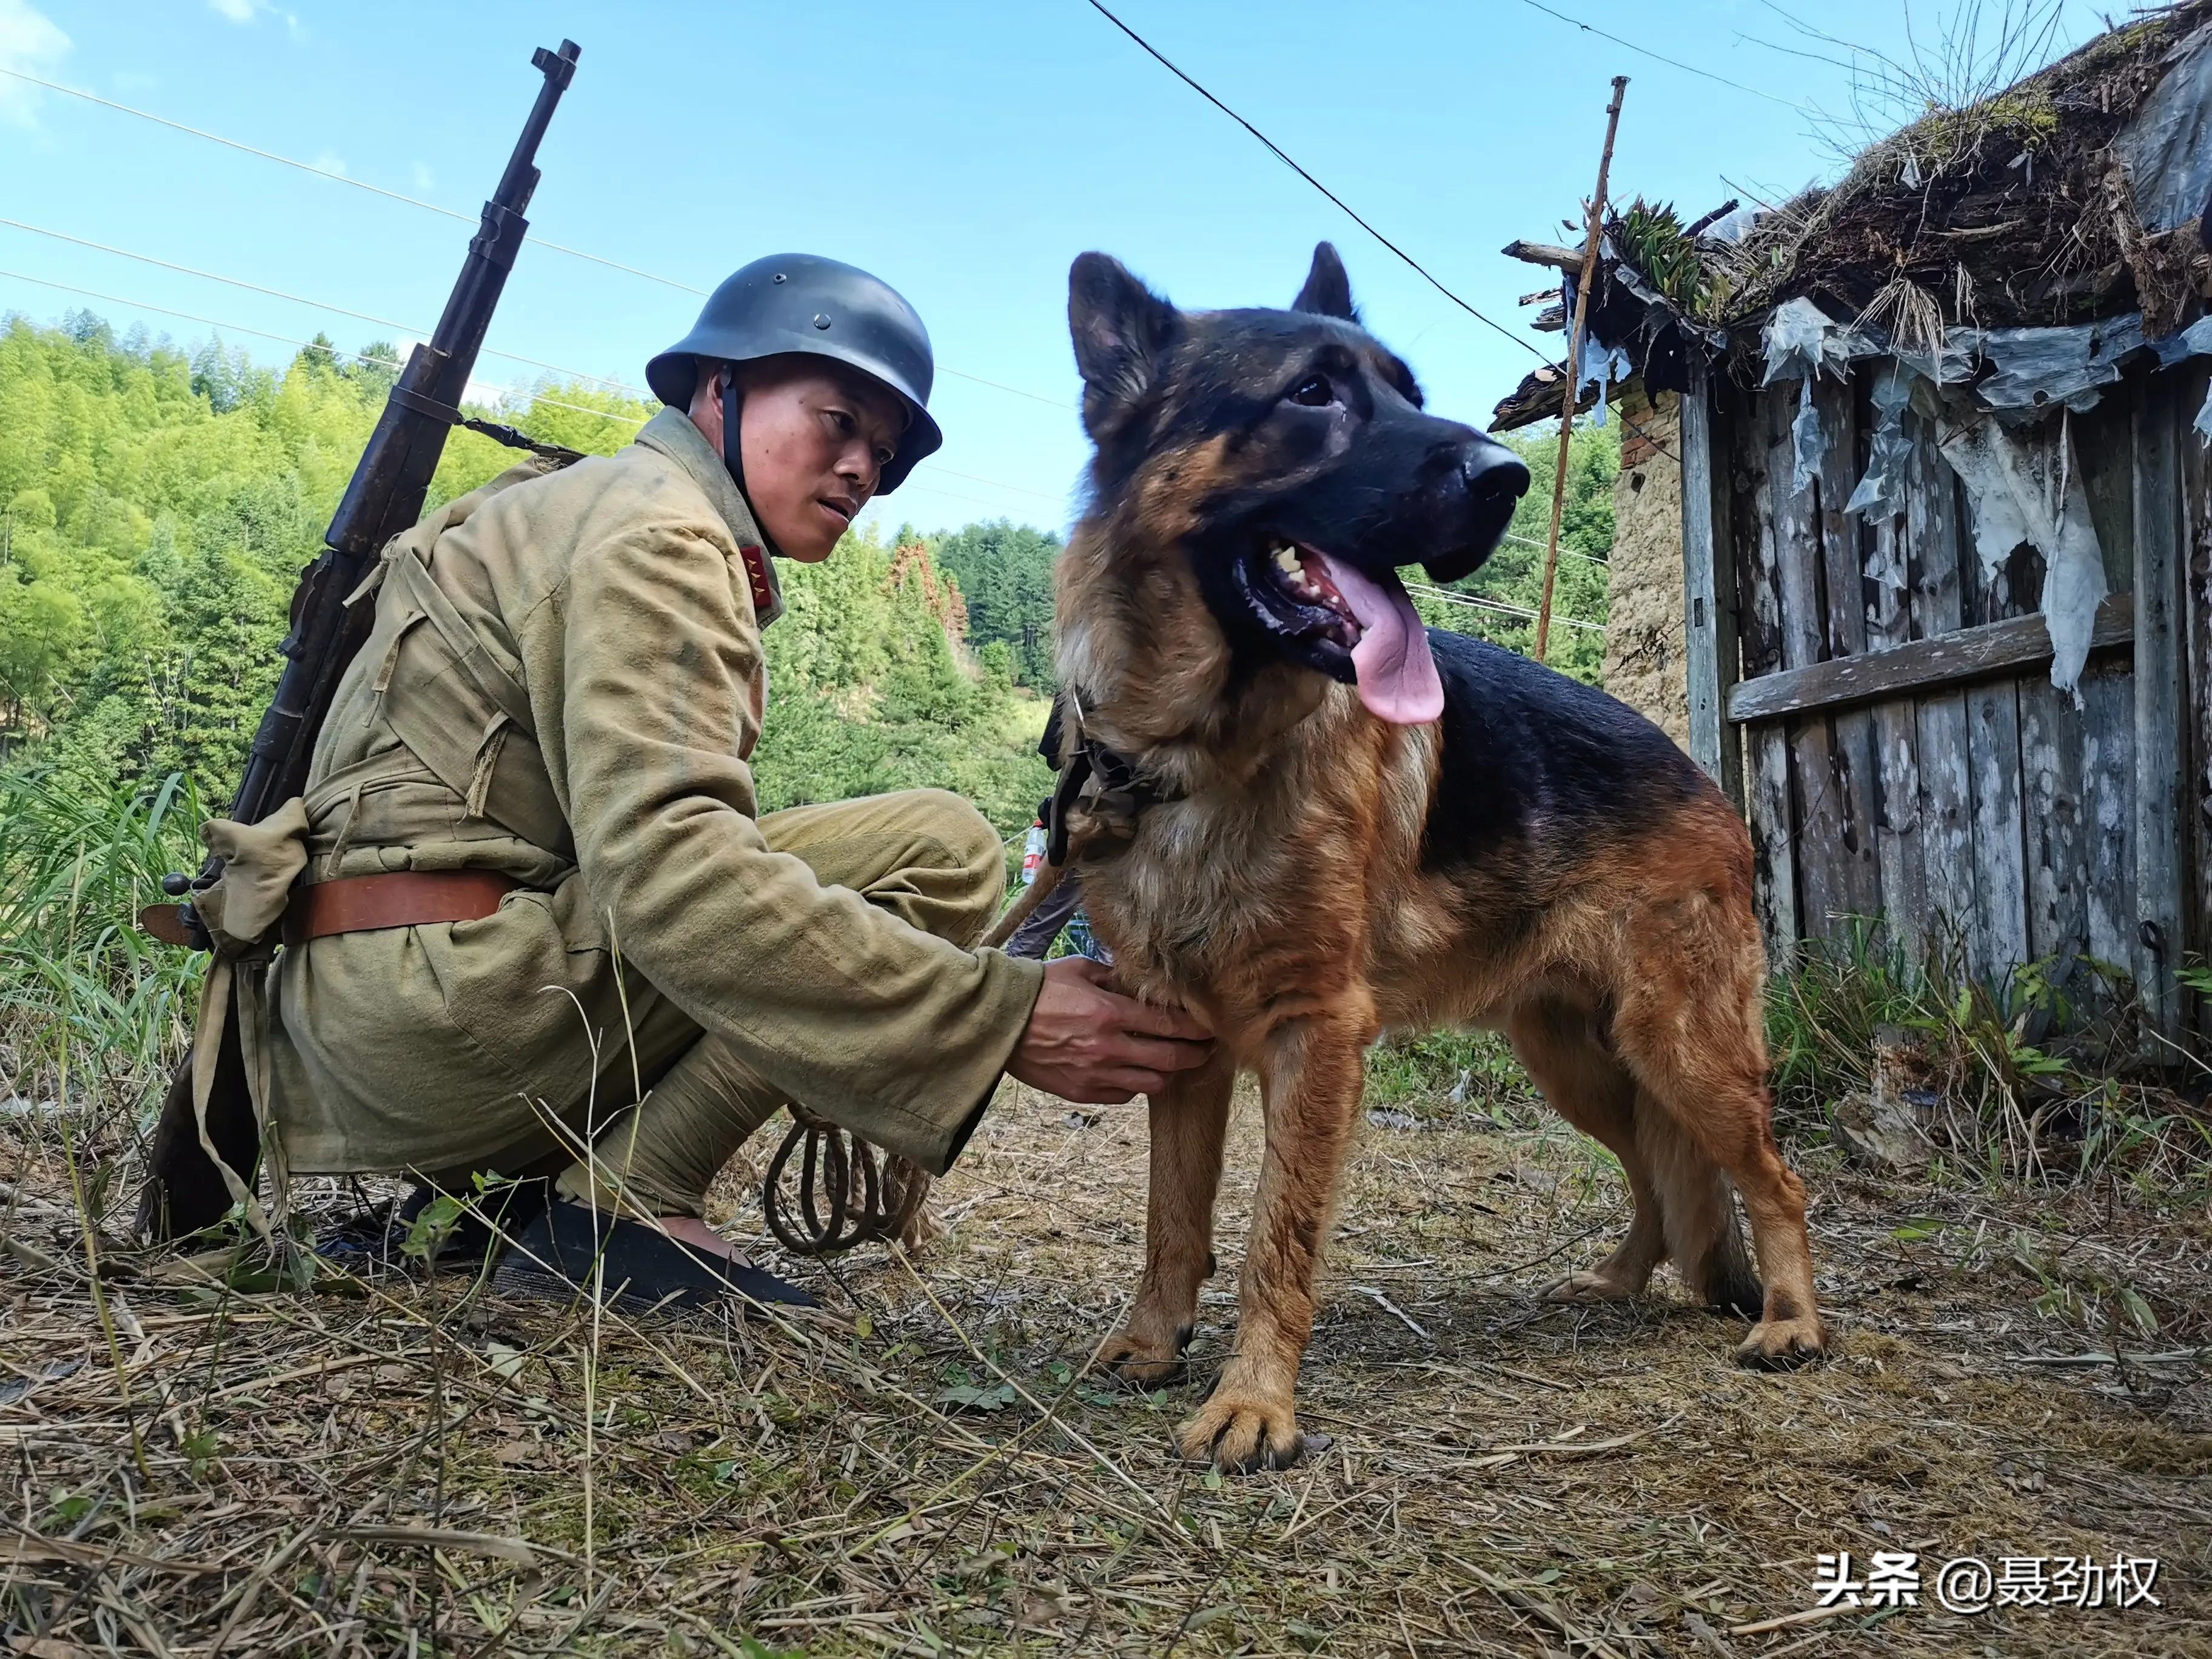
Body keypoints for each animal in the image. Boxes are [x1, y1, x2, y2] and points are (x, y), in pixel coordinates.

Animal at [1062, 243, 1822, 1469]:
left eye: (1408, 391)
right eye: (1311, 395)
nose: (1505, 476)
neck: (1205, 750)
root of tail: (1704, 782)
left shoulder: (1315, 1039)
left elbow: (1276, 1237)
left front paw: (1254, 1402)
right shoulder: (1180, 1048)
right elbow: (1171, 1222)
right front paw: (1149, 1342)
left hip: (1681, 1048)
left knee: (1772, 1177)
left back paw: (1792, 1320)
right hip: (1575, 1060)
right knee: (1655, 1174)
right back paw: (1618, 1279)